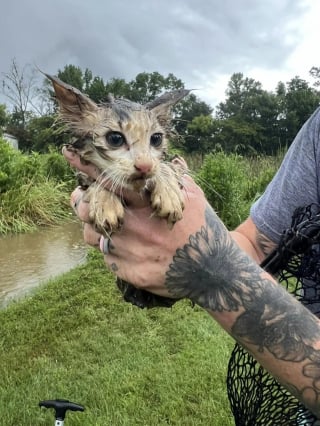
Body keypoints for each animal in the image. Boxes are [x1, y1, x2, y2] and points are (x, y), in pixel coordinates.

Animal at [47, 75, 188, 235]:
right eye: (115, 139)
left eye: (156, 139)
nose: (145, 166)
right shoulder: (83, 176)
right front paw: (105, 203)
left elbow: (166, 165)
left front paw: (170, 194)